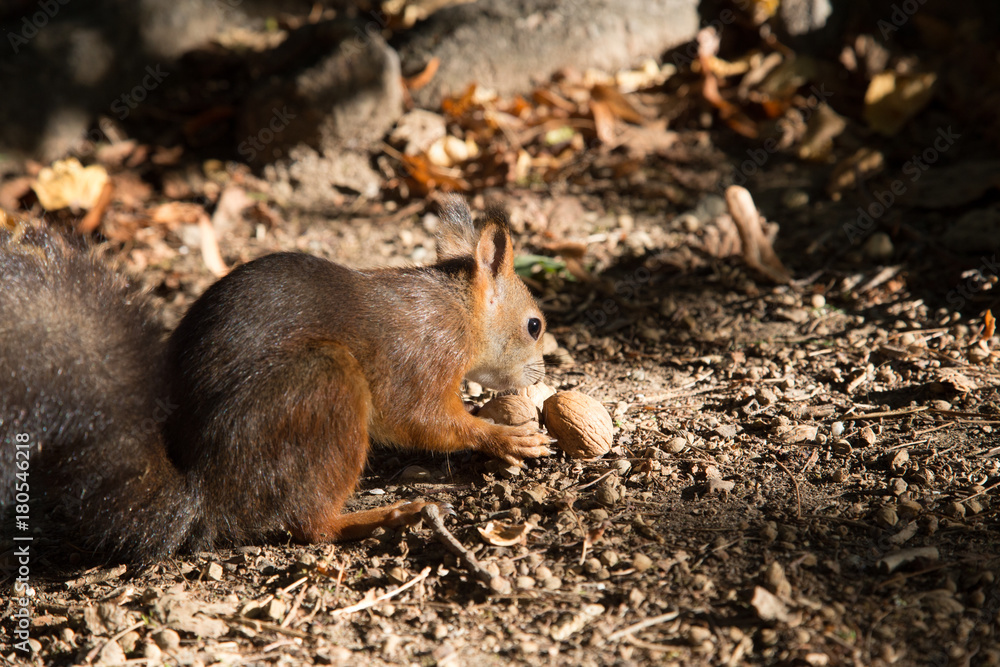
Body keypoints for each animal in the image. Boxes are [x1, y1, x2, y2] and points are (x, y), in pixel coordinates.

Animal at [0, 197, 551, 563]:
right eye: (535, 325)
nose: (541, 372)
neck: (458, 313)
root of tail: (209, 491)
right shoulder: (421, 358)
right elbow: (425, 421)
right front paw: (505, 436)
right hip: (325, 385)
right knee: (310, 525)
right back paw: (386, 514)